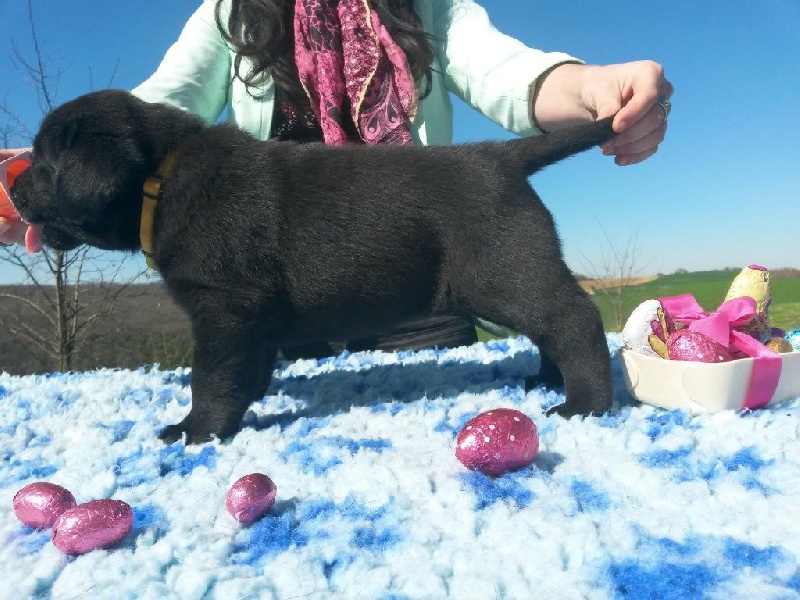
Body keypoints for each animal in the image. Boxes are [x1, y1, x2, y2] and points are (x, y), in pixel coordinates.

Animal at [10, 90, 612, 446]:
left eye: (42, 163)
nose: (11, 187)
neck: (163, 175)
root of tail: (500, 156)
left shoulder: (222, 308)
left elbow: (210, 377)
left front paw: (195, 430)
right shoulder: (249, 319)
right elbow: (247, 369)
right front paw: (249, 403)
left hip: (507, 269)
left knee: (572, 318)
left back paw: (582, 403)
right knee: (550, 325)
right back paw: (545, 379)